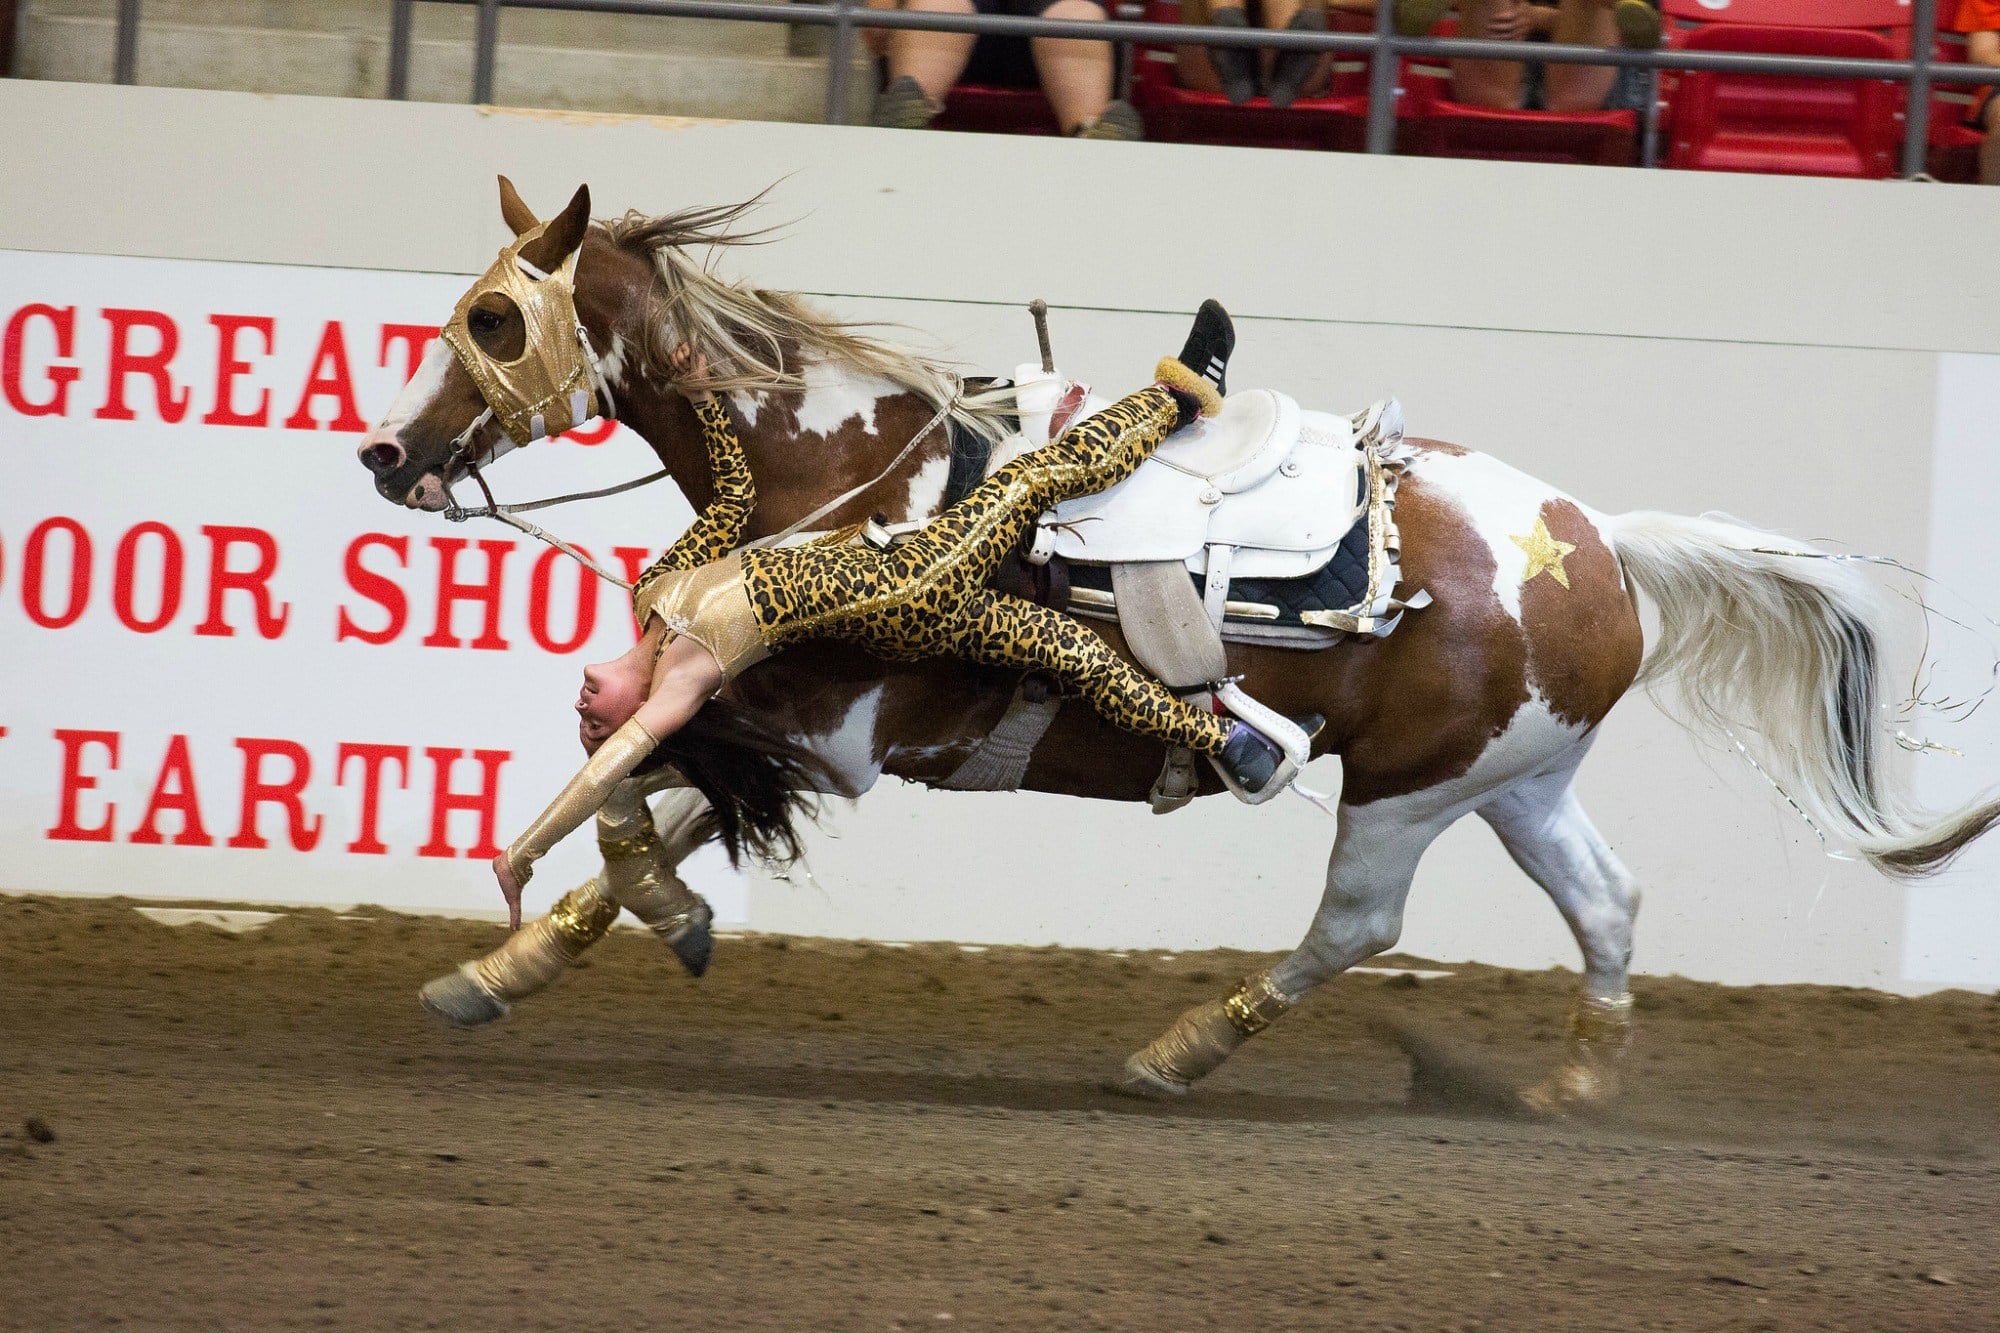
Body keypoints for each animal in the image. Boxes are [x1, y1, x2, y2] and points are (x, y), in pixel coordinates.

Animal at [364, 182, 2000, 1104]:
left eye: (494, 321)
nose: (389, 454)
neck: (866, 473)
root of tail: (1595, 536)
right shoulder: (789, 724)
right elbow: (641, 795)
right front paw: (504, 967)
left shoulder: (823, 738)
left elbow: (634, 794)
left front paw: (617, 918)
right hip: (1515, 779)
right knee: (1606, 902)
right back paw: (1576, 1084)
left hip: (1407, 790)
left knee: (1358, 926)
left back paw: (1179, 1052)